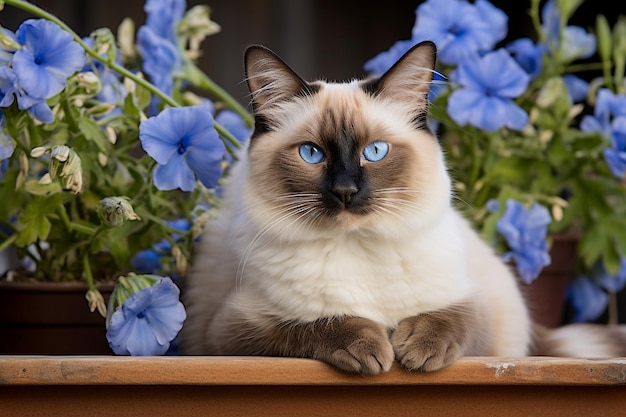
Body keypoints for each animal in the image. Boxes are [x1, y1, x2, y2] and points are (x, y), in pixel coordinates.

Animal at [178, 42, 620, 374]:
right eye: (311, 154)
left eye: (375, 152)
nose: (345, 191)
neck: (357, 244)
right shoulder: (232, 329)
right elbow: (316, 322)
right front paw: (375, 350)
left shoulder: (477, 308)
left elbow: (449, 318)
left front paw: (415, 352)